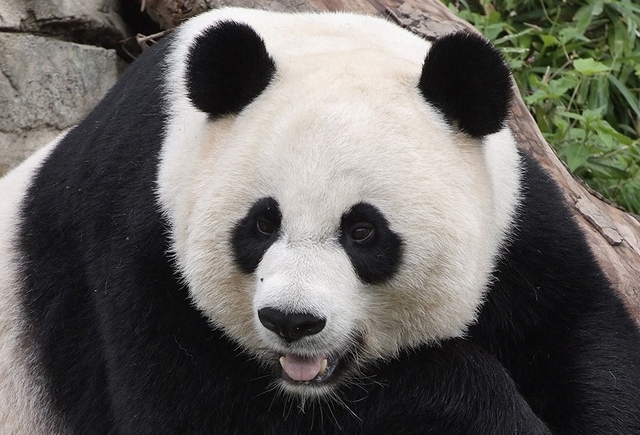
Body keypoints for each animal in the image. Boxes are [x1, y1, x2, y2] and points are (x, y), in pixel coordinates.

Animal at [0, 7, 639, 434]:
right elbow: (197, 413)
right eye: (261, 225)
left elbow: (583, 343)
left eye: (363, 231)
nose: (291, 321)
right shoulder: (140, 238)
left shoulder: (516, 230)